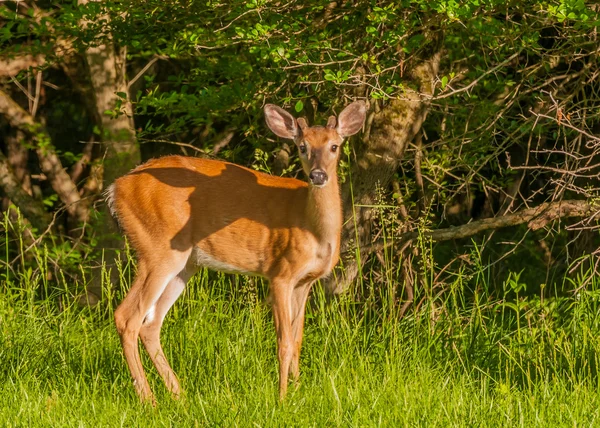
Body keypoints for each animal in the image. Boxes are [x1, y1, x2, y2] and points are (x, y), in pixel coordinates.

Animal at [108, 99, 368, 402]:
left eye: (334, 146)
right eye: (302, 146)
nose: (318, 175)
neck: (314, 229)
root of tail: (115, 188)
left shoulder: (305, 282)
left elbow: (297, 340)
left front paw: (298, 391)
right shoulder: (280, 272)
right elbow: (284, 342)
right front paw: (282, 399)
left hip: (185, 263)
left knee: (150, 323)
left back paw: (179, 395)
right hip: (157, 248)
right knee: (127, 317)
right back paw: (150, 400)